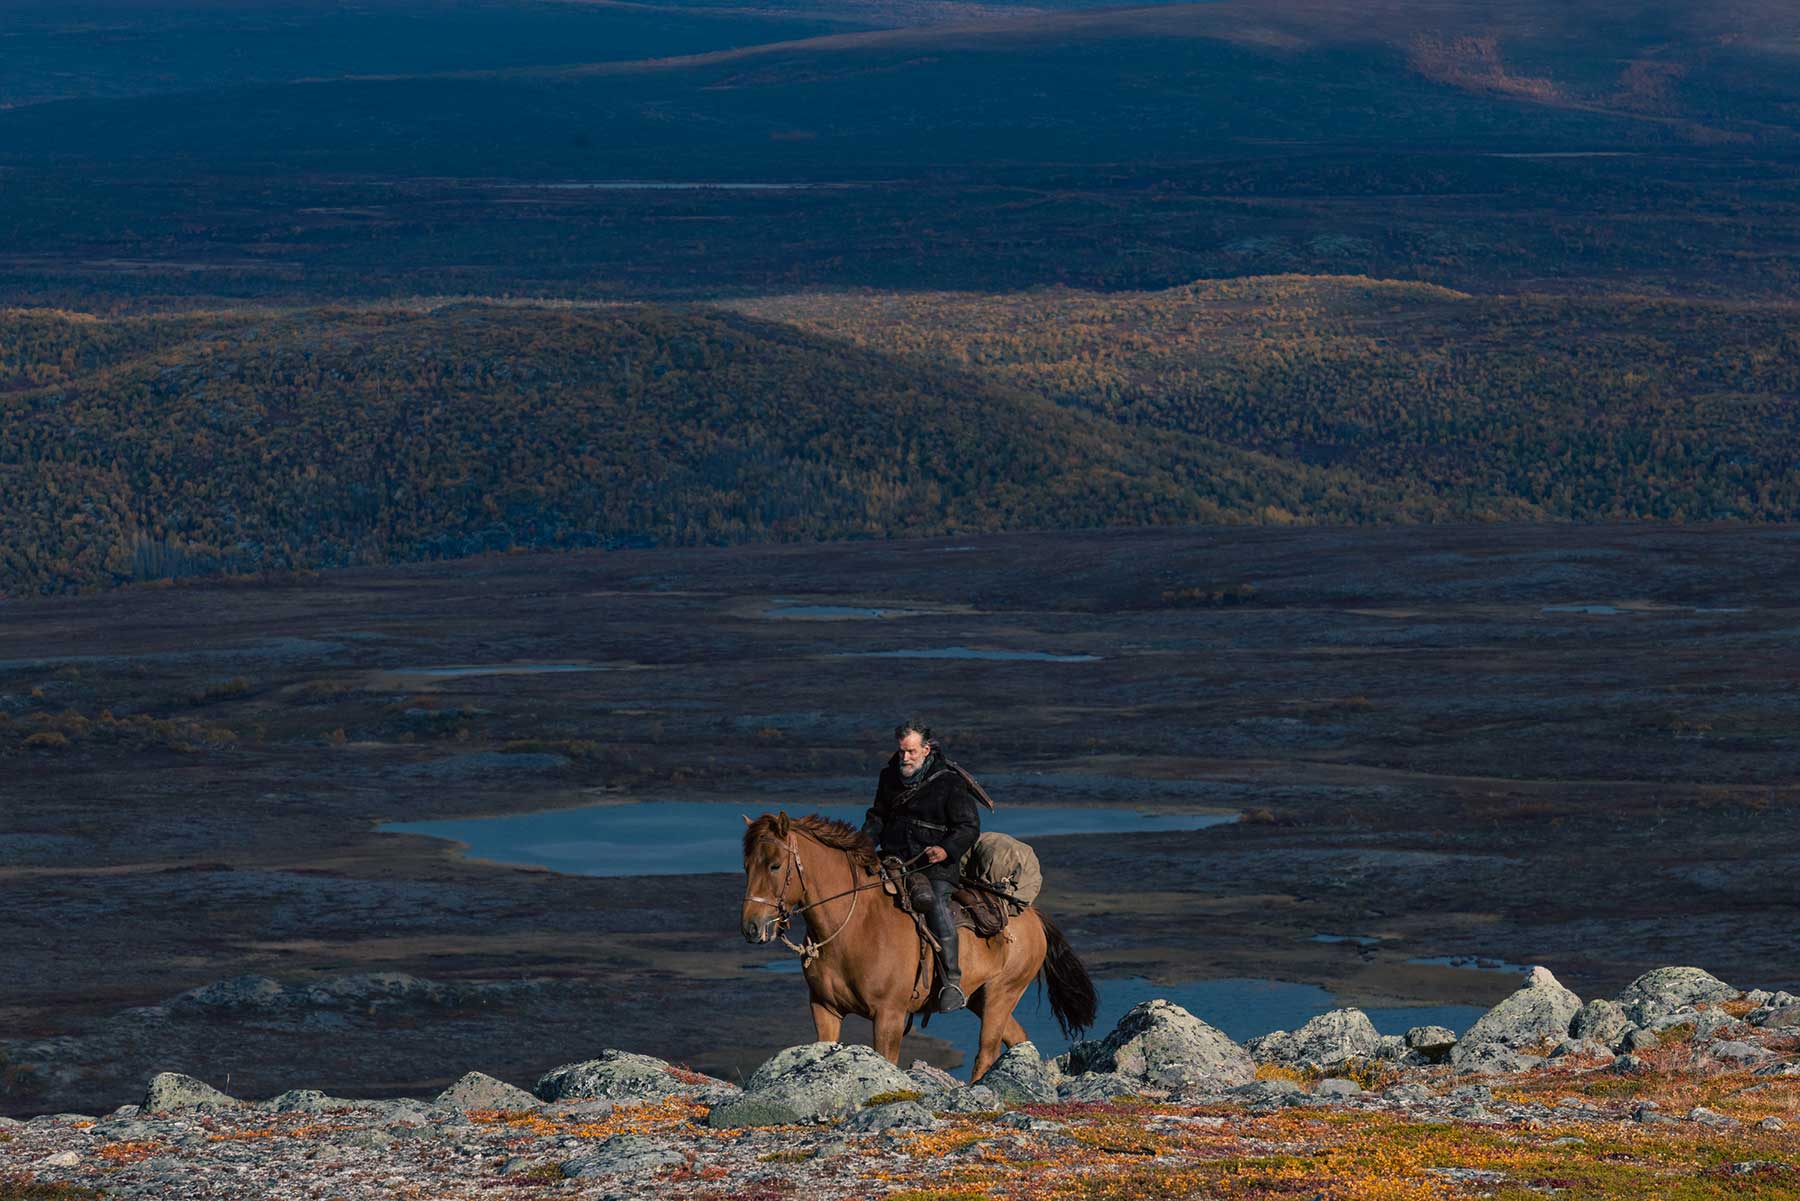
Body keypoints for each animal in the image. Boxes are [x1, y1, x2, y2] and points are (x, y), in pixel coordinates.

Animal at [734, 813, 1094, 1087]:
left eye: (775, 866)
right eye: (747, 866)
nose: (751, 927)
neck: (854, 926)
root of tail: (1031, 914)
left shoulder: (889, 1016)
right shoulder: (824, 1009)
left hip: (1001, 994)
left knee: (986, 1052)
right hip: (980, 998)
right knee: (1018, 1040)